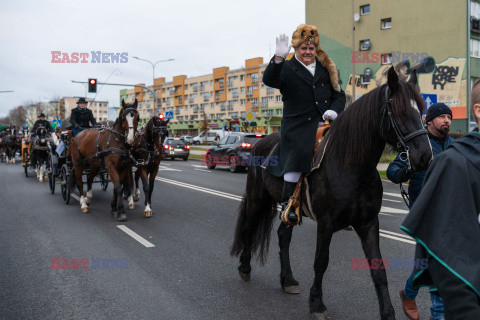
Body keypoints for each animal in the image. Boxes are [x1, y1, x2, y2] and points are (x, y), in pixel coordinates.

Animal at [231, 69, 434, 318]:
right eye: (398, 109)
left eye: (422, 110)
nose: (424, 156)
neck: (351, 166)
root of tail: (260, 143)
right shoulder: (325, 223)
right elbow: (321, 261)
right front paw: (317, 304)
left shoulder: (368, 223)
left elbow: (378, 268)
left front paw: (387, 312)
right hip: (257, 199)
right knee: (249, 227)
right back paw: (244, 267)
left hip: (289, 210)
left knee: (283, 235)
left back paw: (288, 280)